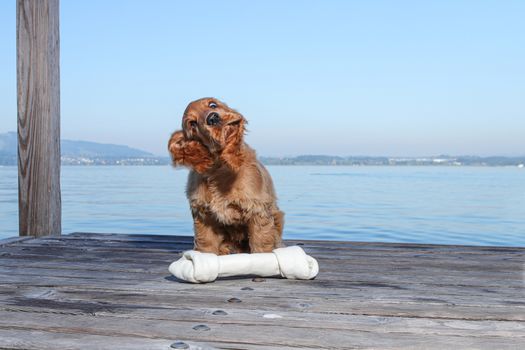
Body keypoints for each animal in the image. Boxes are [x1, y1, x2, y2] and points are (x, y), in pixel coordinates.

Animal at [168, 98, 282, 254]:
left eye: (212, 104)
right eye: (192, 123)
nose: (213, 118)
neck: (220, 169)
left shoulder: (258, 211)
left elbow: (260, 245)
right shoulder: (204, 216)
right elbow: (206, 247)